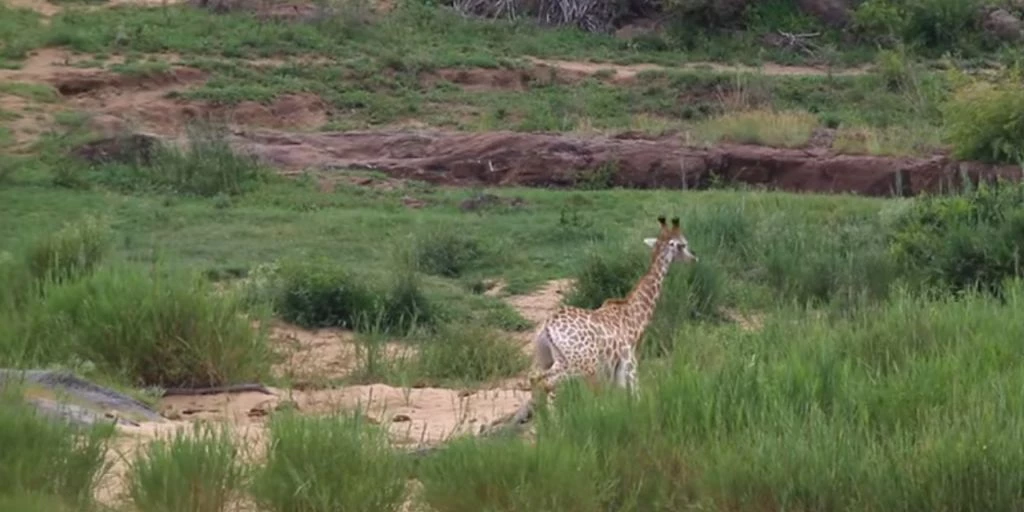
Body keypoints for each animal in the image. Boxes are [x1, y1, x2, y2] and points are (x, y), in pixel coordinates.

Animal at [512, 215, 696, 419]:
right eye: (683, 245)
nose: (693, 259)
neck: (634, 315)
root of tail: (546, 328)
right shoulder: (629, 363)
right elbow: (635, 396)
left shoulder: (613, 370)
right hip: (582, 364)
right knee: (549, 383)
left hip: (548, 358)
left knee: (537, 379)